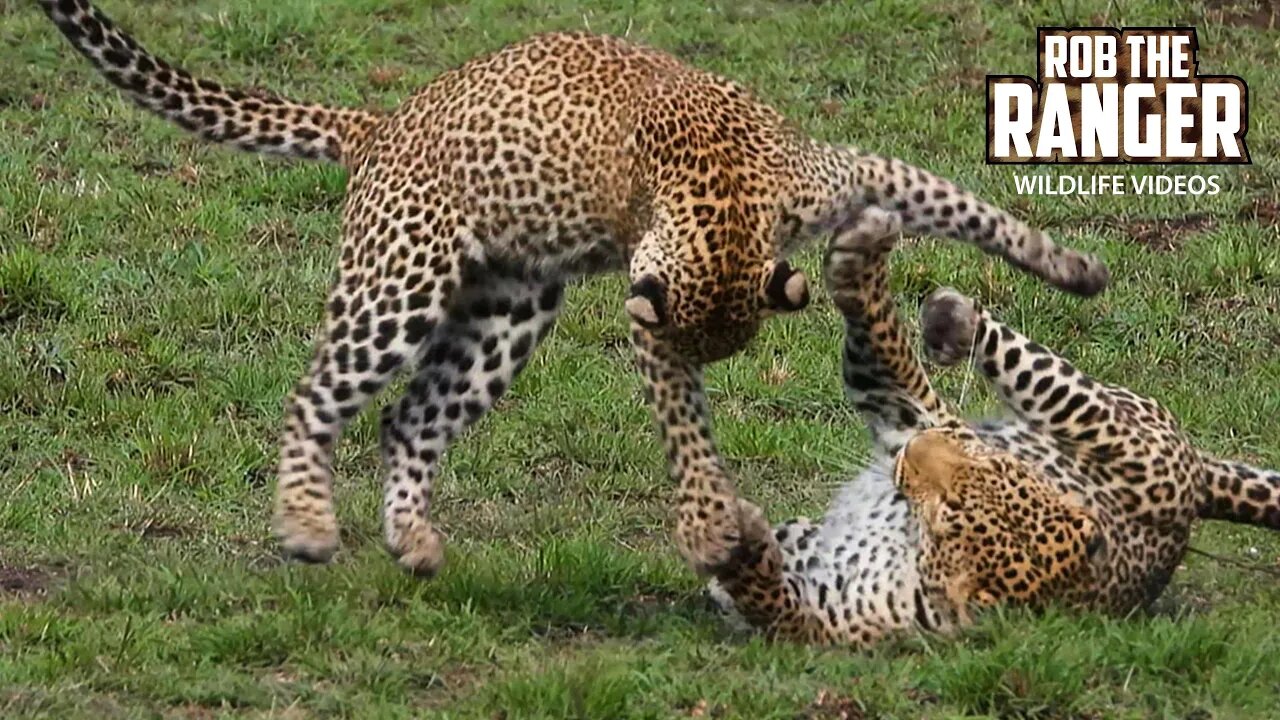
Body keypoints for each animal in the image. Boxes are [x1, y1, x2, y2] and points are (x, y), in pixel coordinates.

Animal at [37, 0, 1111, 573]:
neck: (725, 198)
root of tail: (382, 125)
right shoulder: (655, 321)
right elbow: (686, 430)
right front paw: (709, 524)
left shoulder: (840, 177)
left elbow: (959, 201)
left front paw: (1071, 267)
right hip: (401, 284)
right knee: (318, 395)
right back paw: (305, 522)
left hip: (504, 314)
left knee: (408, 420)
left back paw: (413, 538)